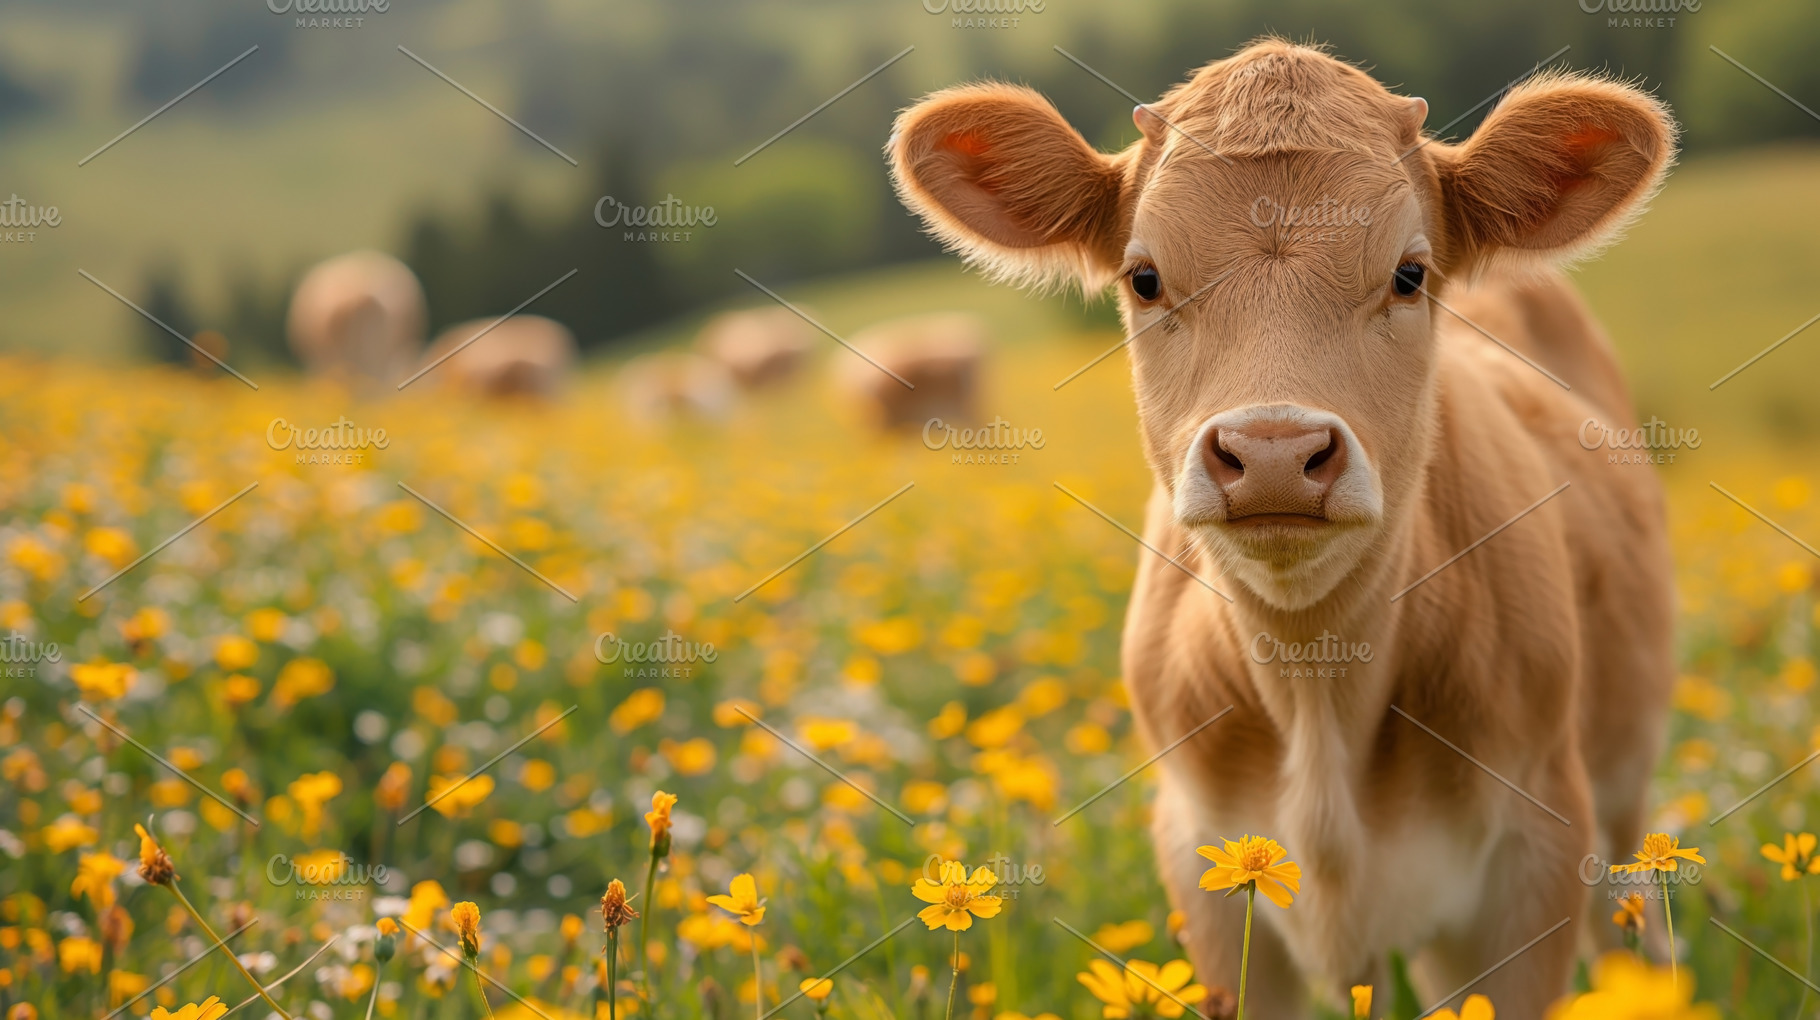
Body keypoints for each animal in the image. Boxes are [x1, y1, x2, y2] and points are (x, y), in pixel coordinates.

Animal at [888, 40, 1675, 1019]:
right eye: (1145, 278)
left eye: (1409, 273)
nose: (1272, 452)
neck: (1315, 684)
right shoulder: (1209, 871)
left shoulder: (1533, 862)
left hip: (1621, 792)